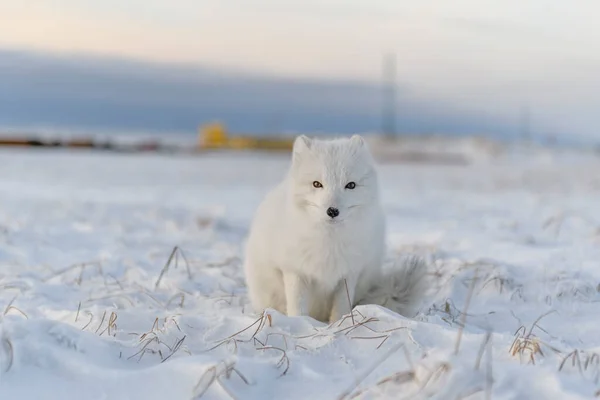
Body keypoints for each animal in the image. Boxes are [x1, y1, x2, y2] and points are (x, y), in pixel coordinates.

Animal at [241, 133, 424, 324]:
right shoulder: (295, 271)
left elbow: (341, 307)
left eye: (350, 185)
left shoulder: (348, 274)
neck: (329, 242)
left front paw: (340, 324)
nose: (332, 211)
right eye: (316, 184)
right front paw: (300, 323)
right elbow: (298, 307)